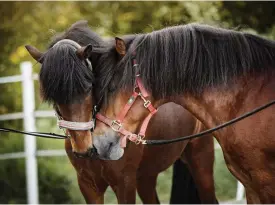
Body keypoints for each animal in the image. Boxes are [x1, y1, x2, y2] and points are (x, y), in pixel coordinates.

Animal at [24, 20, 219, 203]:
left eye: (89, 87)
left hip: (200, 159)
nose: (82, 149)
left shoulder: (124, 182)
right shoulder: (88, 185)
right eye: (52, 96)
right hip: (146, 176)